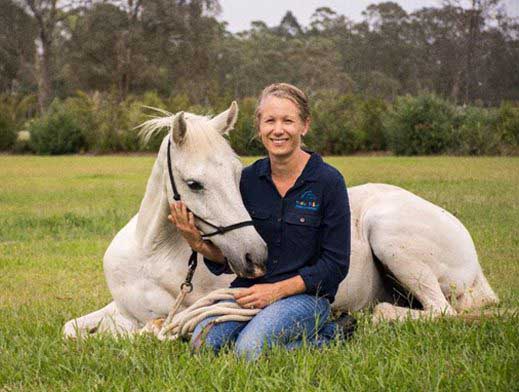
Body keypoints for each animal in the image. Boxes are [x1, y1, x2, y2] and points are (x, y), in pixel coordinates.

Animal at [63, 102, 498, 336]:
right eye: (194, 183)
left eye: (237, 174)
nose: (256, 257)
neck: (150, 254)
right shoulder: (120, 309)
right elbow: (71, 330)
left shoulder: (186, 311)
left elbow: (141, 332)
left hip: (390, 234)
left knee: (439, 312)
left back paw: (371, 314)